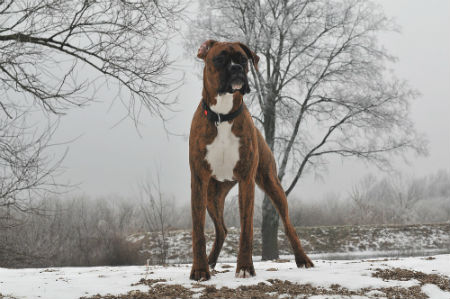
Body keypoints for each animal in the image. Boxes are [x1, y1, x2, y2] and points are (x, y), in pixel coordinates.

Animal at [189, 39, 312, 282]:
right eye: (220, 58)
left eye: (243, 59)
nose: (237, 68)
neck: (223, 116)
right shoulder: (198, 180)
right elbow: (198, 230)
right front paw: (199, 270)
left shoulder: (247, 179)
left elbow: (246, 227)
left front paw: (245, 267)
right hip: (211, 196)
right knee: (221, 230)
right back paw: (210, 261)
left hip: (272, 185)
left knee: (288, 225)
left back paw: (303, 259)